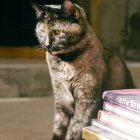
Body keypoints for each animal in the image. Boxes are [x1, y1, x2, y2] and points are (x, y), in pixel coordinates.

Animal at [32, 0, 136, 139]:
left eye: (58, 32)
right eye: (42, 31)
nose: (47, 45)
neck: (66, 62)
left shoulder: (87, 98)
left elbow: (77, 127)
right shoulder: (60, 96)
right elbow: (58, 126)